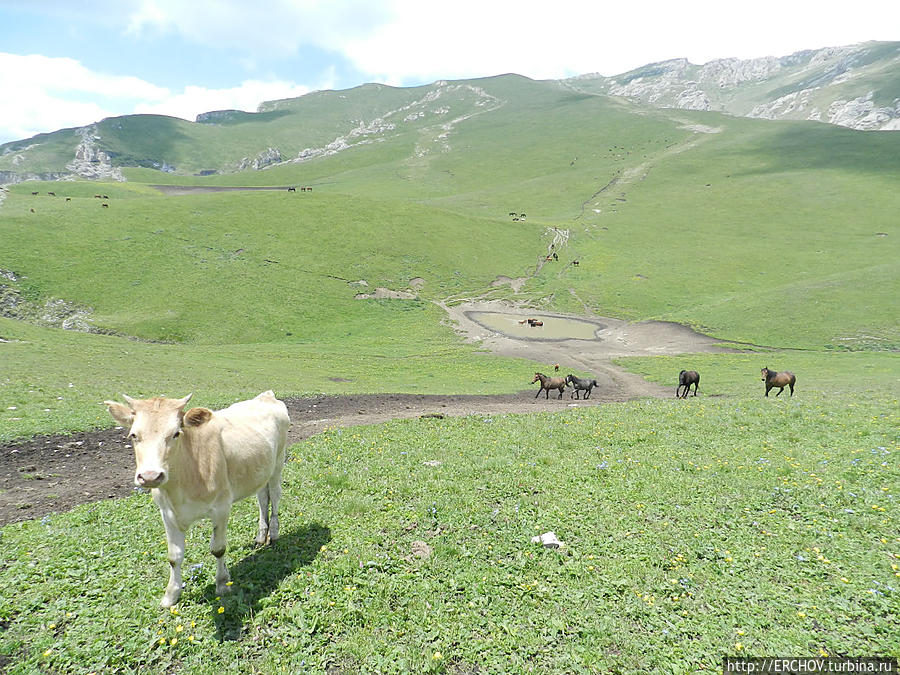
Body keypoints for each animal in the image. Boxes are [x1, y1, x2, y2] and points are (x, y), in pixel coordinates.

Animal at [105, 390, 290, 608]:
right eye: (134, 435)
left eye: (176, 433)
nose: (151, 476)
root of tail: (266, 396)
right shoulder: (167, 513)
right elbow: (174, 556)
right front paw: (171, 595)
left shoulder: (221, 507)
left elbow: (218, 549)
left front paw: (222, 584)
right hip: (260, 472)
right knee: (262, 498)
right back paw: (262, 535)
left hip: (278, 462)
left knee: (275, 495)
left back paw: (274, 532)